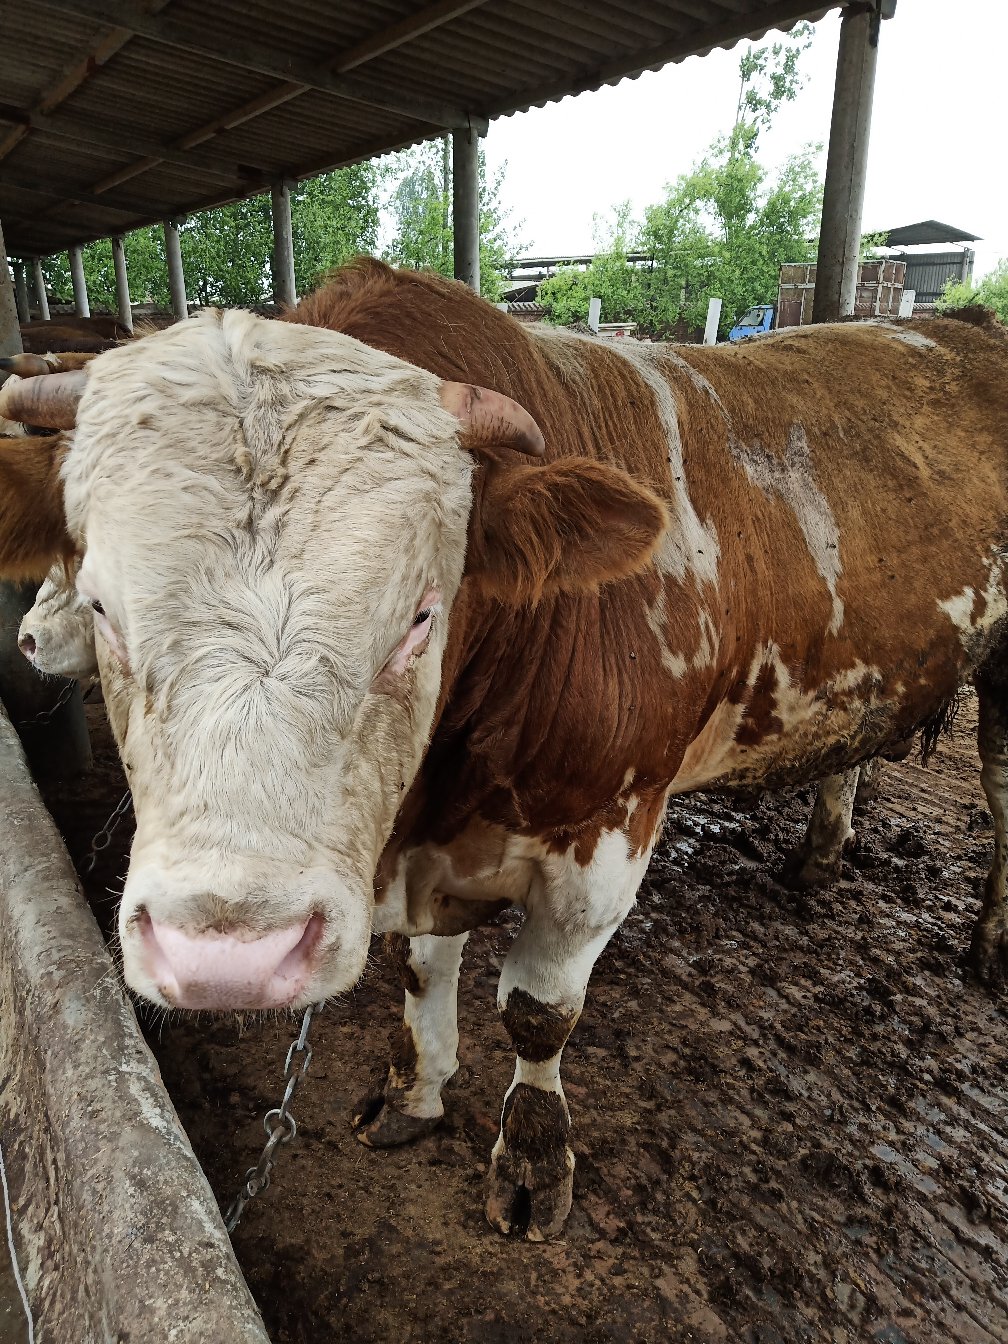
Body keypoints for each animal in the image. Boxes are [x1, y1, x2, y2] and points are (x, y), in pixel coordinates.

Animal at [1, 262, 1008, 1236]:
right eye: (102, 604)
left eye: (421, 614)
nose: (231, 959)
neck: (441, 796)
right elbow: (420, 968)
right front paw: (415, 1092)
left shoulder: (609, 836)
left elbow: (538, 1012)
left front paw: (531, 1160)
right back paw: (821, 855)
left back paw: (989, 947)